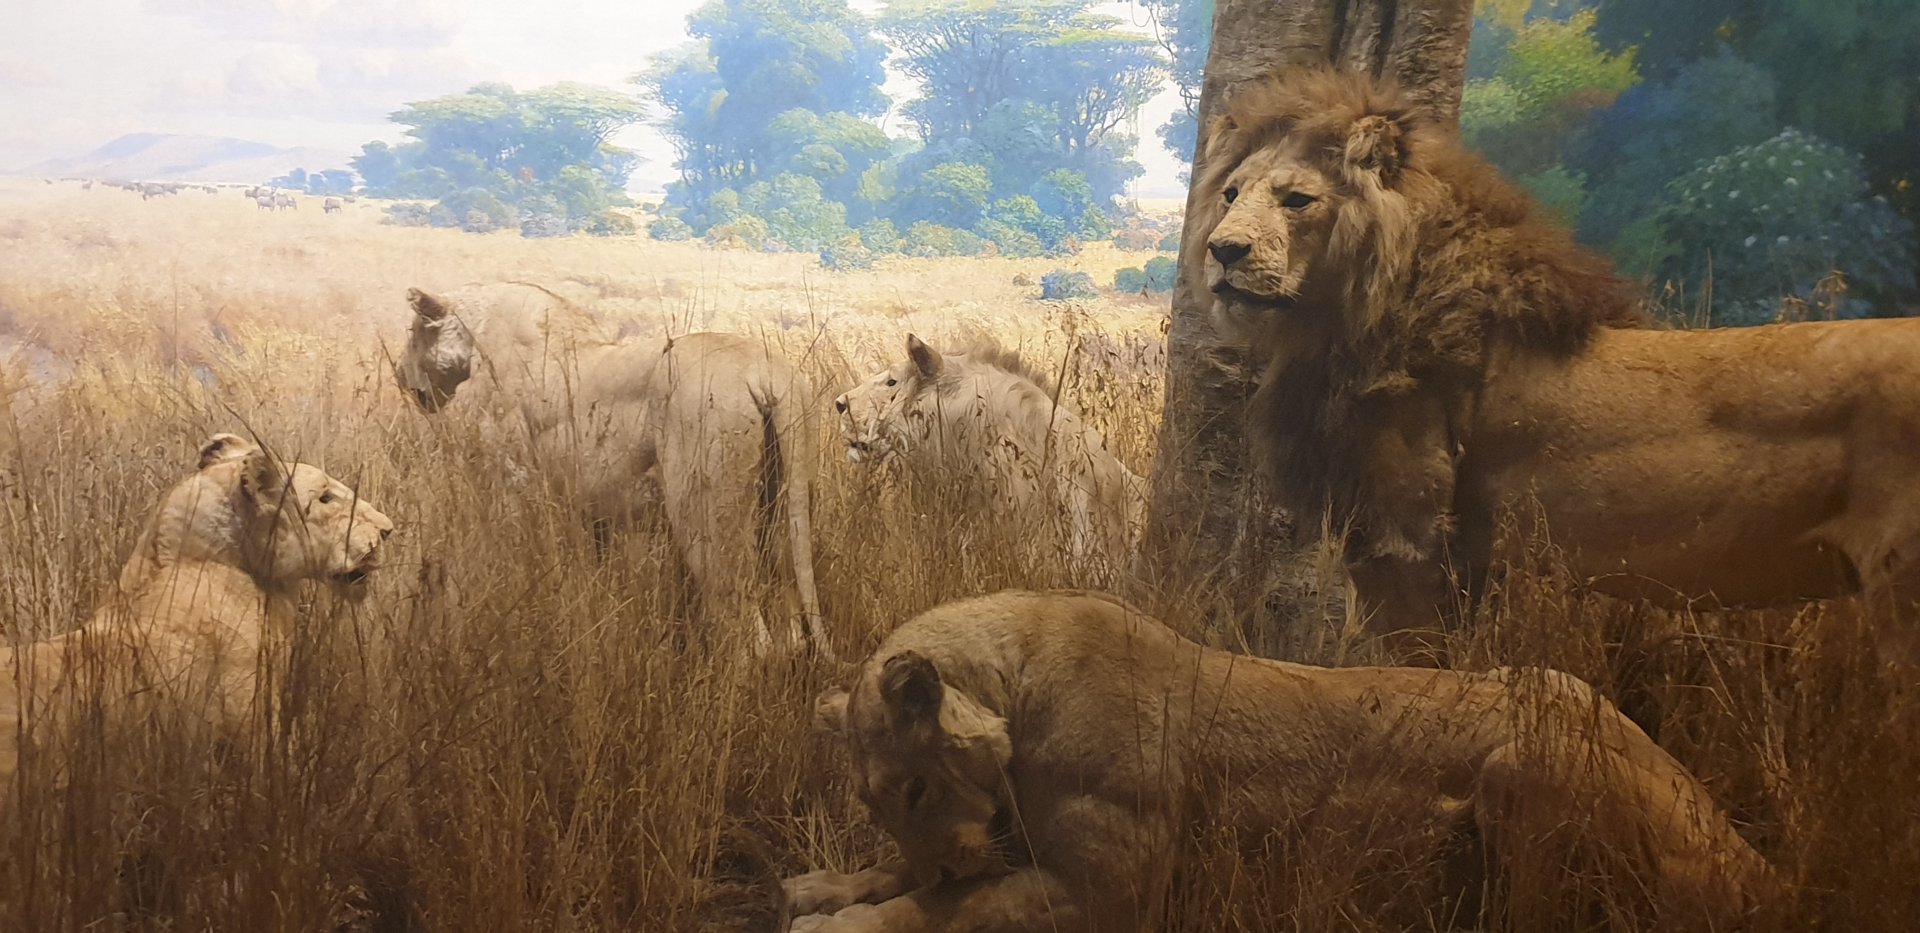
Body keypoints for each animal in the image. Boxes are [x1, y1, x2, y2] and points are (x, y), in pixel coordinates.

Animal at [394, 282, 831, 658]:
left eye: (413, 332)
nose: (398, 374)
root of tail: (767, 371)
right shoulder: (591, 511)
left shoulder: (515, 489)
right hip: (783, 508)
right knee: (790, 631)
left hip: (704, 515)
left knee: (749, 633)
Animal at [782, 590, 1774, 931]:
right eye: (880, 802)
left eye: (915, 785)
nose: (944, 856)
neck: (1015, 682)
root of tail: (1747, 852)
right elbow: (912, 881)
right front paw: (821, 885)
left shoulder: (1114, 891)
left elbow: (954, 907)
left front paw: (845, 920)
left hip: (1523, 763)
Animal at [1191, 67, 1920, 657]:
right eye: (1230, 195)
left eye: (1297, 200)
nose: (1222, 252)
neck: (1339, 320)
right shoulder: (1464, 561)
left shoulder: (1408, 544)